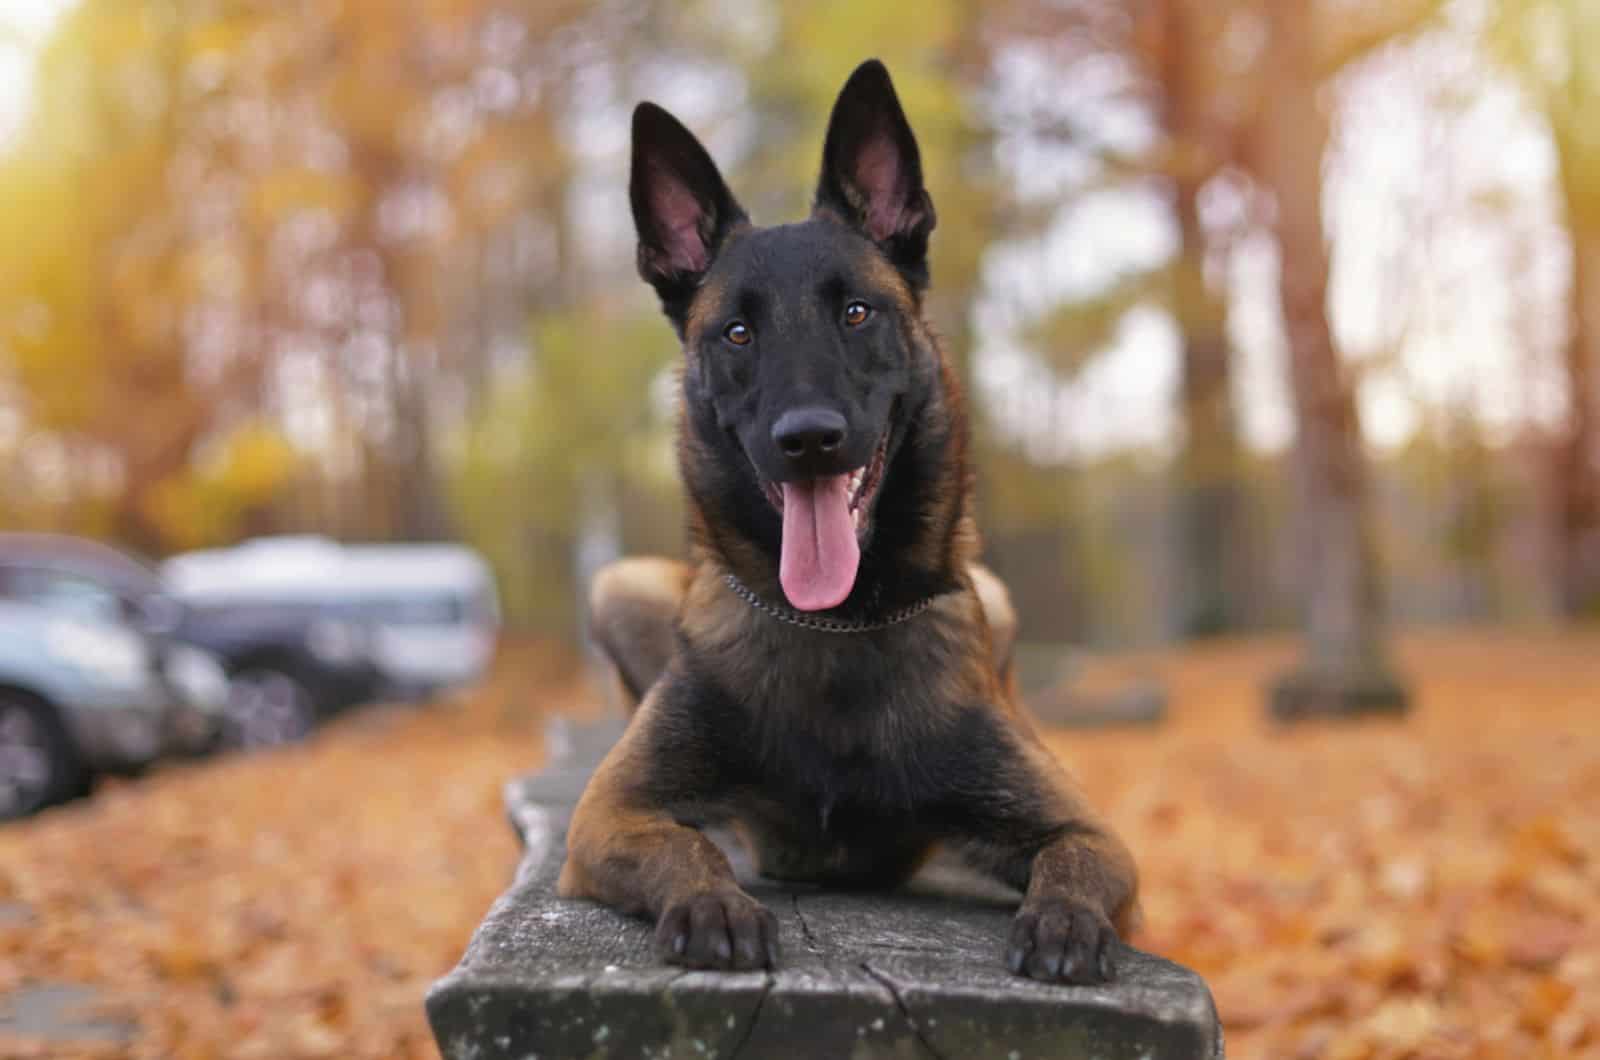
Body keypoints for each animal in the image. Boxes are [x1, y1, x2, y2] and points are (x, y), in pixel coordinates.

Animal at [563, 60, 1139, 986]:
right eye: (737, 332)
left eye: (857, 313)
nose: (808, 439)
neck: (836, 628)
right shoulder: (613, 814)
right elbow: (683, 846)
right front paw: (714, 901)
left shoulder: (1088, 828)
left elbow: (1076, 858)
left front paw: (1065, 921)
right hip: (622, 583)